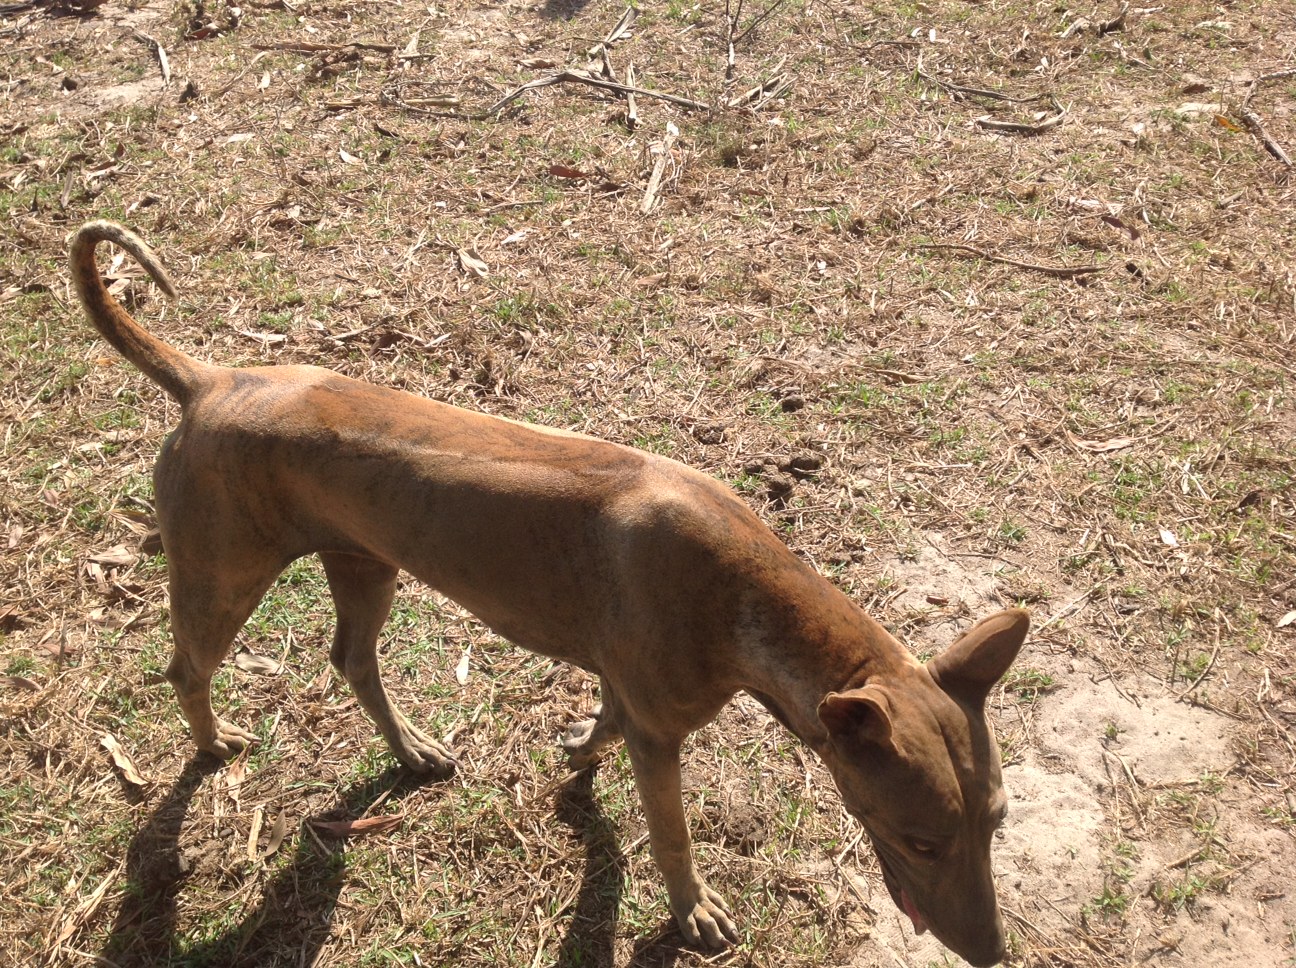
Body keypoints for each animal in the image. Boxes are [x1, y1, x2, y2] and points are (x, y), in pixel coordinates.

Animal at [70, 222, 1026, 964]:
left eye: (999, 821)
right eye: (920, 840)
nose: (990, 953)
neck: (750, 589)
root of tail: (212, 381)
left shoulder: (630, 691)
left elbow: (600, 731)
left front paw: (579, 760)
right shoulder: (662, 737)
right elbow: (670, 834)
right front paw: (692, 909)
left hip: (365, 563)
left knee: (352, 660)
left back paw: (412, 749)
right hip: (222, 577)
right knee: (186, 669)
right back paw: (212, 743)